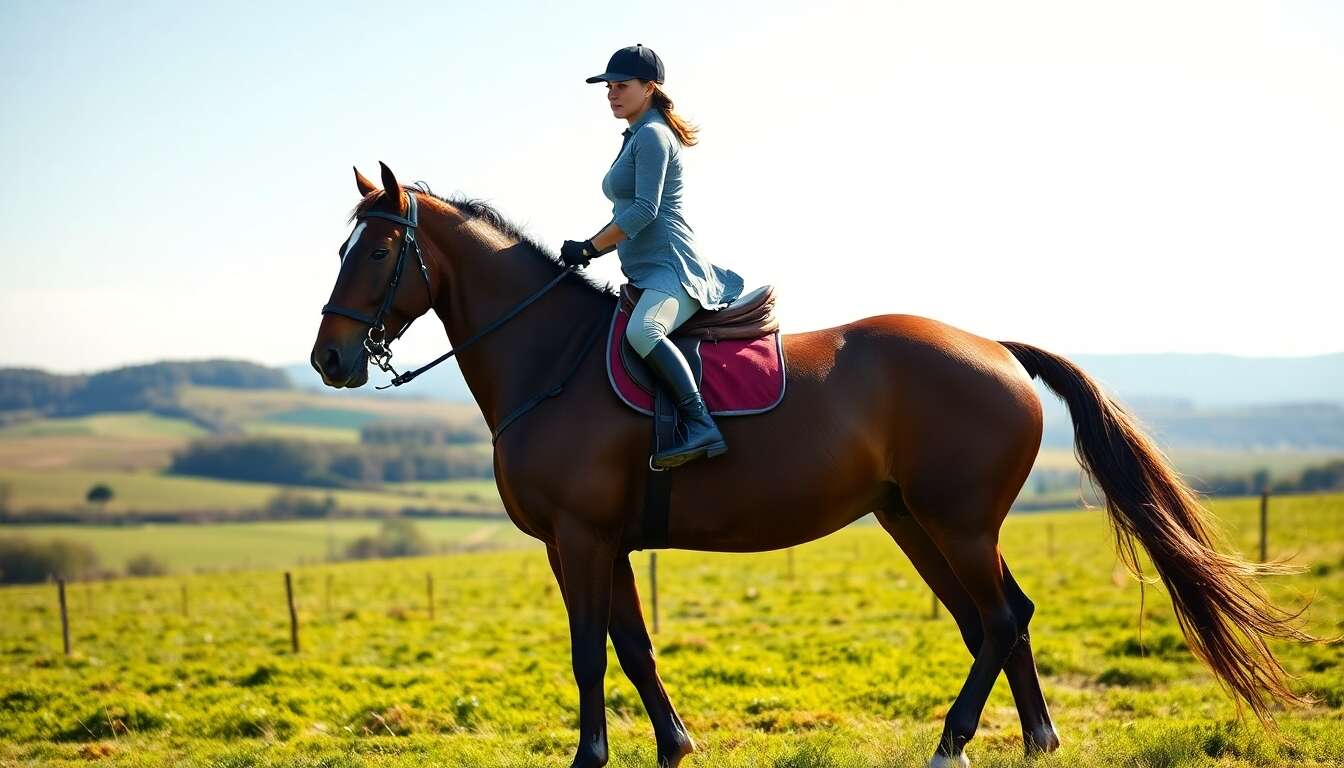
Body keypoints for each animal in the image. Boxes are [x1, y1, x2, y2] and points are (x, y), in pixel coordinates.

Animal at [310, 162, 1312, 768]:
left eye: (381, 248)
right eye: (341, 246)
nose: (329, 361)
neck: (550, 360)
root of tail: (995, 347)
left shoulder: (579, 539)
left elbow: (591, 651)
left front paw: (591, 756)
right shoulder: (606, 543)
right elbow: (633, 647)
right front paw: (674, 745)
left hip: (955, 523)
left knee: (998, 618)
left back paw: (955, 741)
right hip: (918, 522)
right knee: (996, 621)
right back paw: (1032, 739)